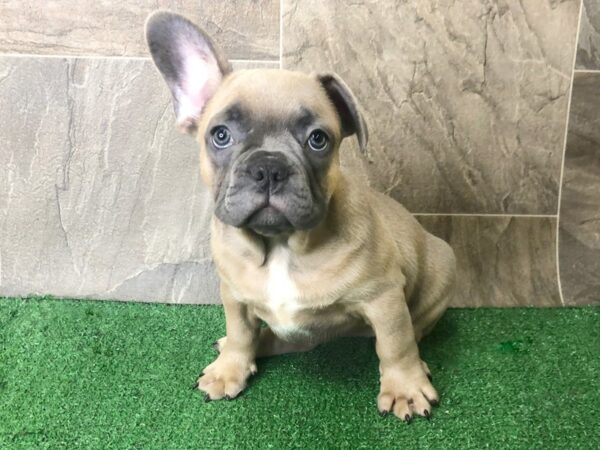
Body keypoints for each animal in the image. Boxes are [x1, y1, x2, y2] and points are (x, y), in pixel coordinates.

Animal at [146, 11, 456, 421]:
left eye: (318, 139)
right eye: (221, 135)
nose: (268, 167)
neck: (280, 246)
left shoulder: (385, 298)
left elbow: (395, 344)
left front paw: (405, 386)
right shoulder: (234, 295)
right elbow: (241, 331)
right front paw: (230, 368)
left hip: (441, 269)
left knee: (414, 330)